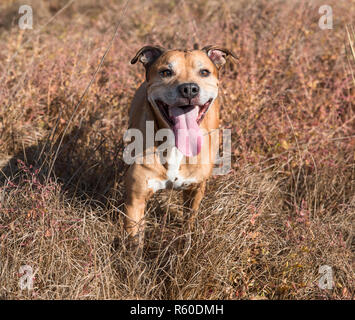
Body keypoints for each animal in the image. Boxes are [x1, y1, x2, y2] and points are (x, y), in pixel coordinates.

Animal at [124, 44, 238, 248]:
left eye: (204, 72)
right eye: (166, 72)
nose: (189, 89)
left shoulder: (195, 191)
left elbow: (188, 224)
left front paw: (185, 246)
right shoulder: (135, 200)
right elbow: (134, 242)